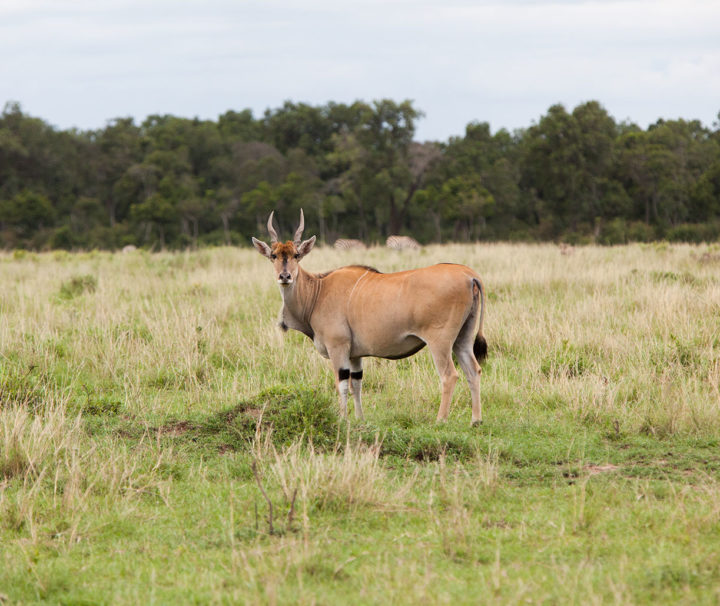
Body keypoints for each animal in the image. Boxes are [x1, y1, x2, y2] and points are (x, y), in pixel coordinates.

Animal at [253, 211, 490, 426]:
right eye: (274, 256)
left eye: (296, 255)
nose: (285, 276)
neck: (318, 291)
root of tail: (469, 275)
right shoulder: (355, 354)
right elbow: (356, 383)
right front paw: (360, 419)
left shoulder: (338, 347)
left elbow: (342, 383)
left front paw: (343, 419)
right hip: (462, 339)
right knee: (473, 371)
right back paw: (476, 420)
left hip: (439, 342)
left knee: (449, 375)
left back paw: (440, 420)